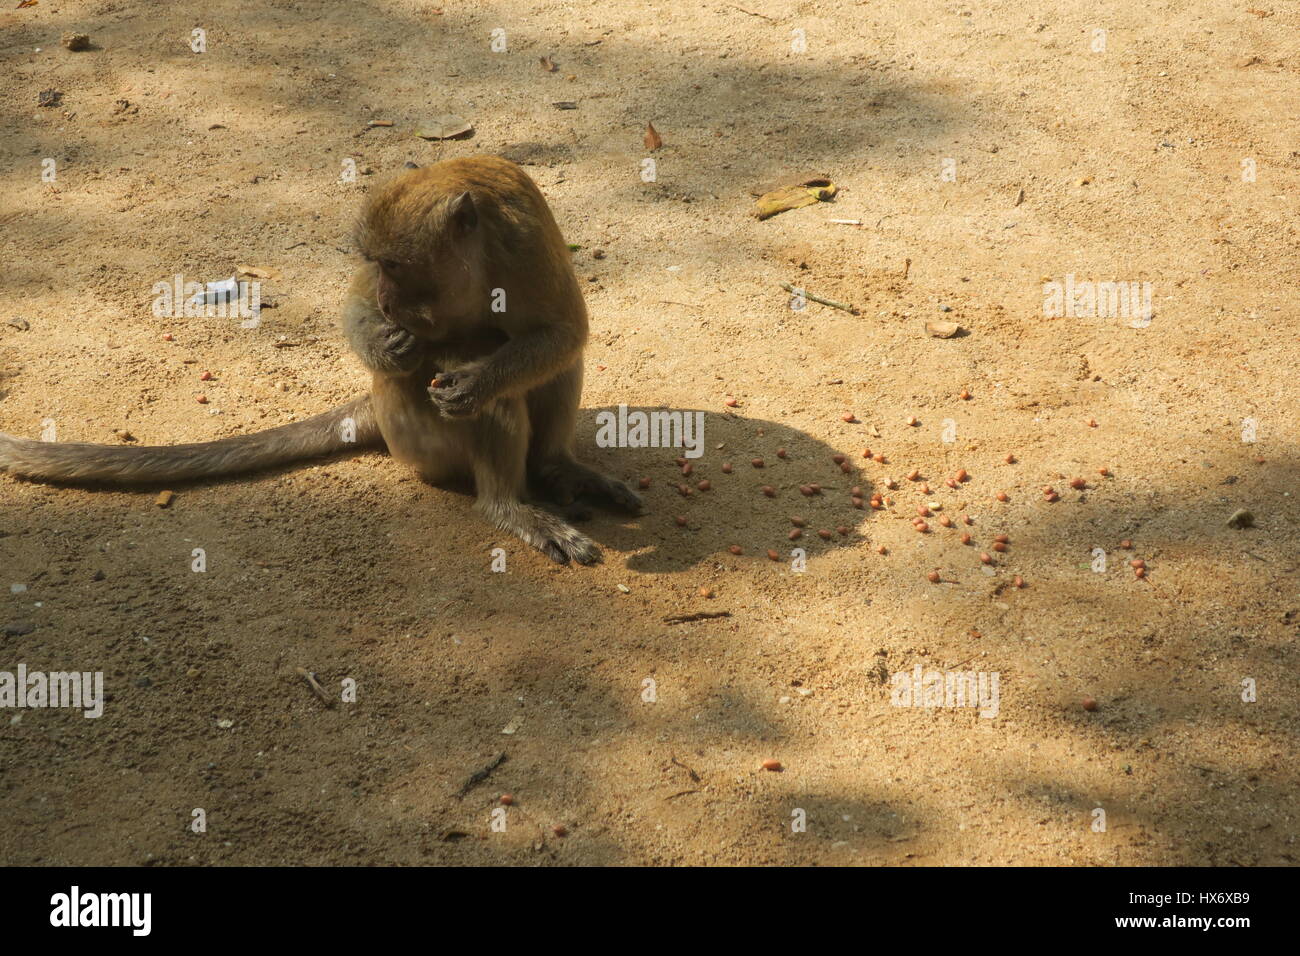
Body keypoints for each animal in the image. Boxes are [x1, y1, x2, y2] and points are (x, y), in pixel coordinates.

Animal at [0, 155, 641, 565]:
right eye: (376, 261)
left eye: (396, 264)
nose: (389, 301)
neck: (479, 254)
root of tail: (376, 416)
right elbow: (357, 305)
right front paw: (386, 341)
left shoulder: (523, 239)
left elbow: (563, 332)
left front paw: (473, 383)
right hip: (420, 443)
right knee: (474, 376)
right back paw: (507, 505)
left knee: (540, 367)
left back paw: (555, 469)